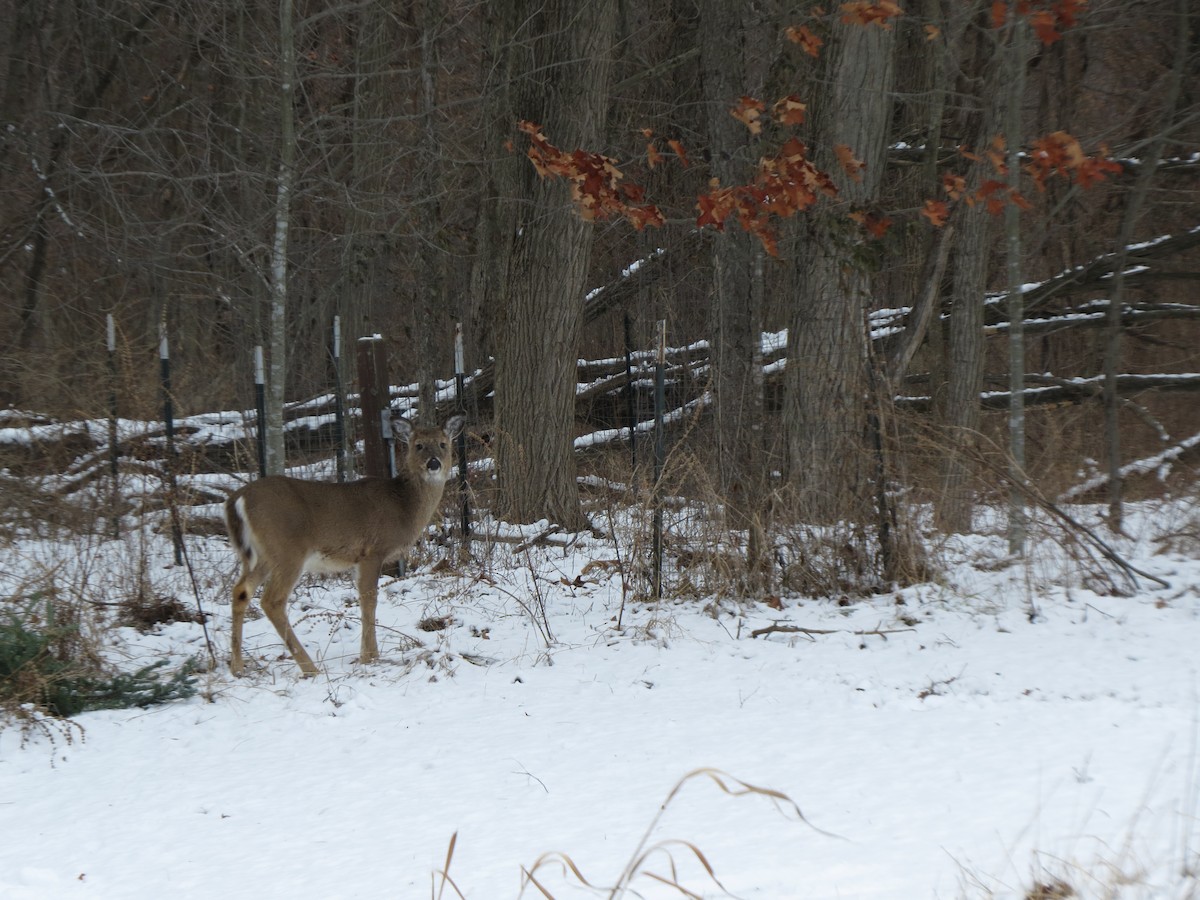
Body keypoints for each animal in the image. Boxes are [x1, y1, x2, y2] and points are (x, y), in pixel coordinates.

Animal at [222, 414, 464, 676]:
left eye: (443, 444)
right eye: (418, 445)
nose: (433, 463)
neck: (404, 505)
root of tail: (237, 500)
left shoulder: (358, 559)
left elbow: (363, 599)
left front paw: (368, 654)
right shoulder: (373, 550)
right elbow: (369, 599)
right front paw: (370, 657)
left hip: (261, 555)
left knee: (241, 590)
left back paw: (237, 667)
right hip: (287, 549)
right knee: (272, 600)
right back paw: (310, 668)